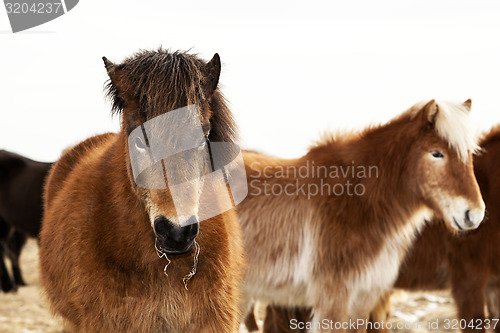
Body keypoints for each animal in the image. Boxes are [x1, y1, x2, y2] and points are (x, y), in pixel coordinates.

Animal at [238, 100, 484, 330]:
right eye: (437, 153)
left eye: (469, 154)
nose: (475, 214)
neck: (359, 199)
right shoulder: (333, 299)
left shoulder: (365, 298)